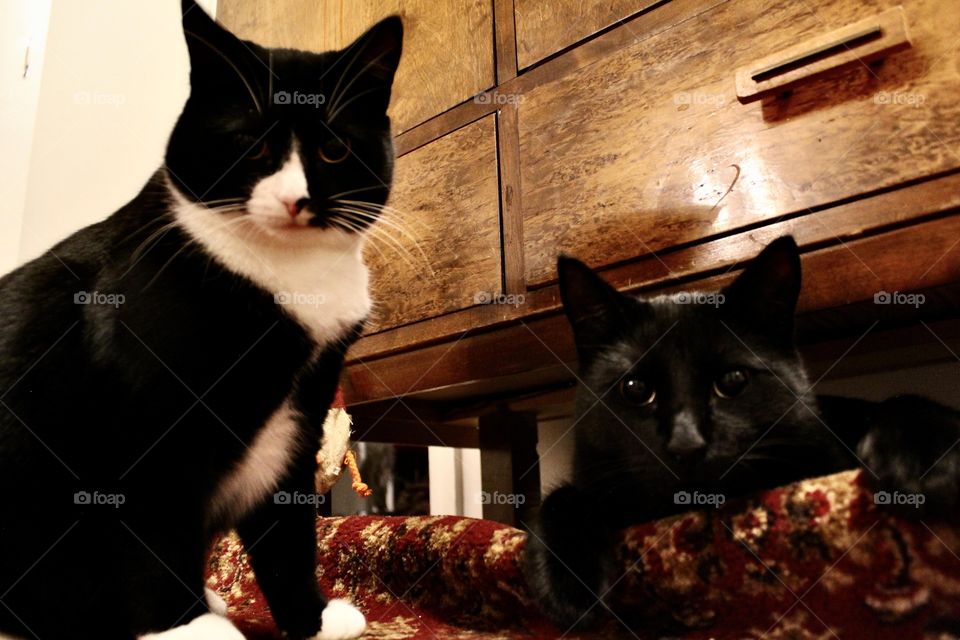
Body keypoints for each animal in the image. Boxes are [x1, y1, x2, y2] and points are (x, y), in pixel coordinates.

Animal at [0, 2, 402, 636]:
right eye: (251, 145)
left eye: (334, 150)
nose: (296, 200)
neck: (289, 279)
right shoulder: (150, 418)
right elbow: (153, 521)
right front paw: (185, 625)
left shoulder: (301, 414)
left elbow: (287, 531)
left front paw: (311, 620)